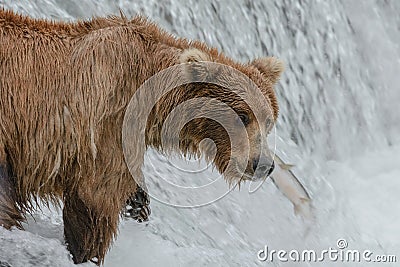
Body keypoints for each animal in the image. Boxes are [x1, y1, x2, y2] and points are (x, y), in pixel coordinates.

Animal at [0, 8, 282, 266]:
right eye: (243, 116)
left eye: (268, 120)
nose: (263, 164)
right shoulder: (106, 126)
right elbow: (95, 201)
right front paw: (86, 253)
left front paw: (138, 207)